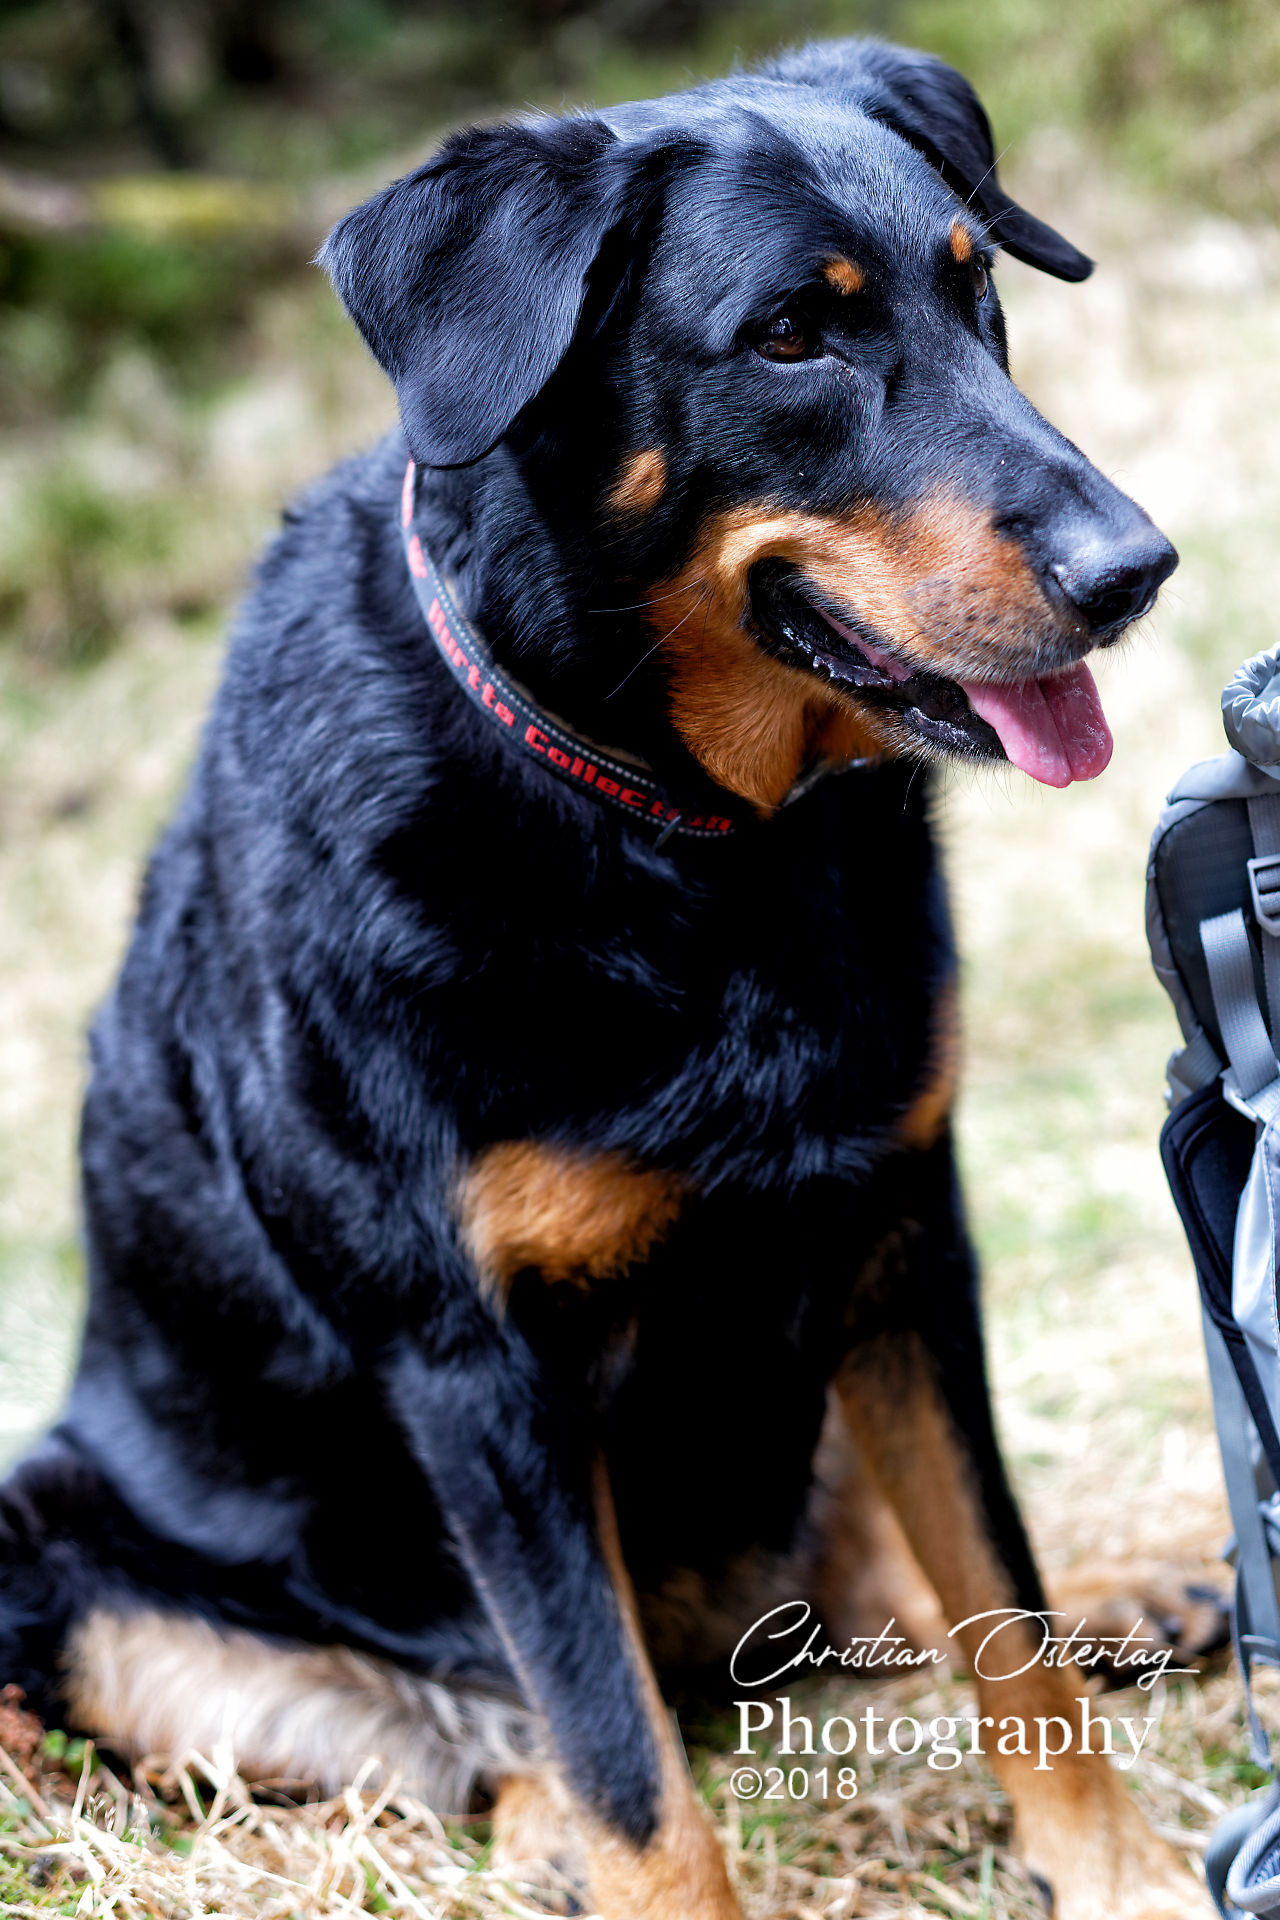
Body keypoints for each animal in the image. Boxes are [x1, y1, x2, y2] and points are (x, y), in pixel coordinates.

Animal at [0, 36, 1216, 1920]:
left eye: (978, 286)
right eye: (790, 336)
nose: (1134, 570)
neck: (683, 841)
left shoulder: (897, 1233)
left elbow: (993, 1592)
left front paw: (1118, 1869)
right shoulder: (481, 1373)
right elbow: (623, 1754)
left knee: (865, 1598)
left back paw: (1132, 1590)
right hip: (66, 1562)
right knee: (507, 1741)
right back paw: (544, 1825)